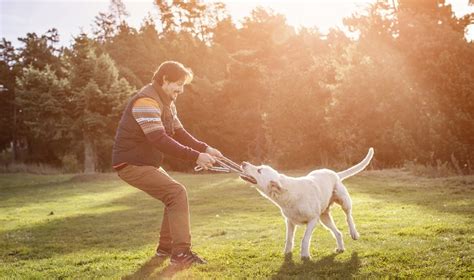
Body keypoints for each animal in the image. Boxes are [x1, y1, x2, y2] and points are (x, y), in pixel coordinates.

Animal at [241, 148, 374, 260]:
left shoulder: (312, 220)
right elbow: (289, 239)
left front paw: (305, 255)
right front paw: (287, 253)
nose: (243, 163)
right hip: (324, 218)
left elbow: (305, 239)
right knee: (338, 233)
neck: (287, 194)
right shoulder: (290, 222)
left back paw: (354, 233)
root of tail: (334, 173)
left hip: (343, 201)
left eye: (259, 170)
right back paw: (340, 248)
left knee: (348, 216)